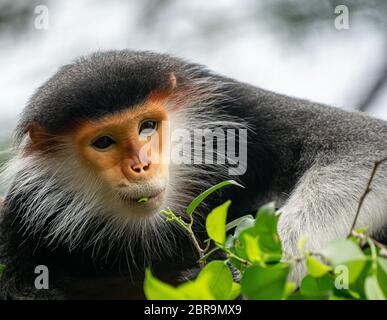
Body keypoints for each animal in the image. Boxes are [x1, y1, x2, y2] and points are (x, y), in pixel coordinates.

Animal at [0, 50, 386, 300]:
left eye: (147, 126)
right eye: (104, 142)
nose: (141, 165)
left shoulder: (238, 105)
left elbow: (362, 144)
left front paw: (259, 266)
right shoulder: (20, 215)